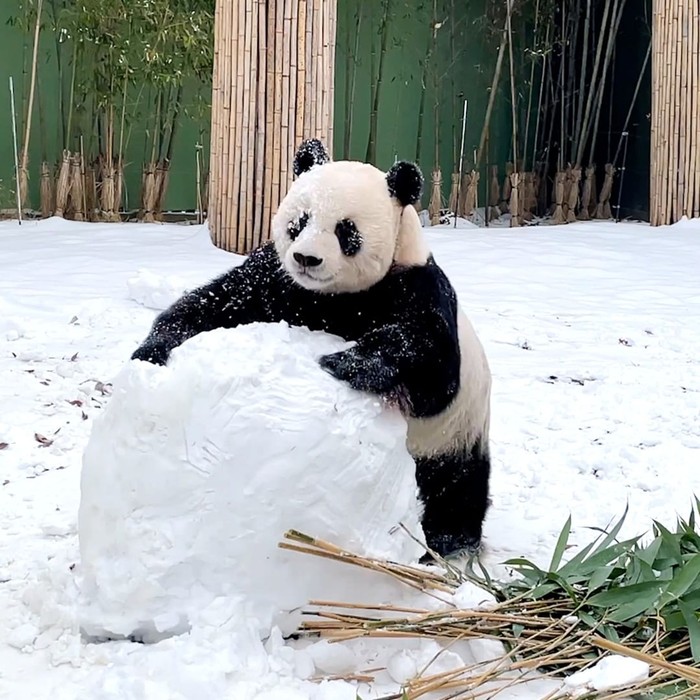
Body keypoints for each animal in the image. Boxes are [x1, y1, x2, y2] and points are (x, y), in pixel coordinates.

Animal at [131, 138, 492, 561]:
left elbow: (432, 368)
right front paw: (154, 348)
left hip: (452, 435)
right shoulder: (277, 280)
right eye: (299, 221)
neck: (335, 297)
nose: (306, 258)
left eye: (346, 230)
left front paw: (344, 362)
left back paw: (448, 541)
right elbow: (218, 302)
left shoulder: (415, 287)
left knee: (454, 487)